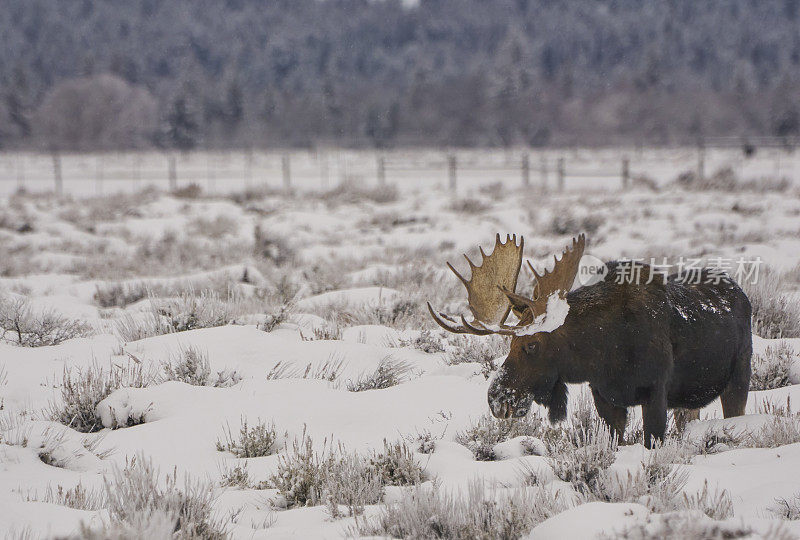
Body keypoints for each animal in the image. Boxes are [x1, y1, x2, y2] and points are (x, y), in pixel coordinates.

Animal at [428, 234, 752, 450]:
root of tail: (741, 292)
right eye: (509, 346)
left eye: (531, 345)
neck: (603, 353)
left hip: (738, 378)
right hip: (688, 401)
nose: (497, 399)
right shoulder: (605, 399)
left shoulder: (655, 392)